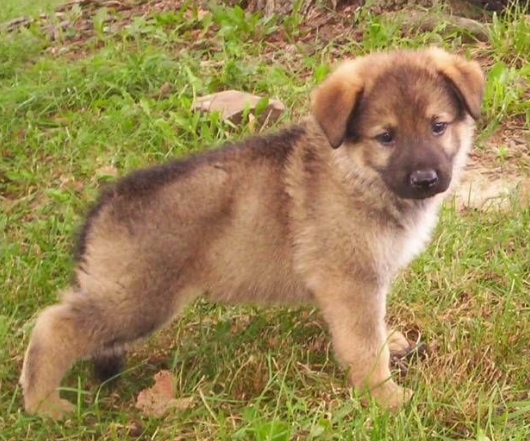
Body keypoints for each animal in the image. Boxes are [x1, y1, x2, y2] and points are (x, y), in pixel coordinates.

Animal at [20, 48, 482, 416]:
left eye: (438, 126)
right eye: (385, 137)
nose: (425, 179)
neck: (358, 173)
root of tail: (104, 204)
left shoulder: (360, 286)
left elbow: (373, 332)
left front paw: (392, 345)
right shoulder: (352, 282)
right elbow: (365, 346)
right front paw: (385, 396)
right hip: (137, 301)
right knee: (52, 327)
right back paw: (44, 404)